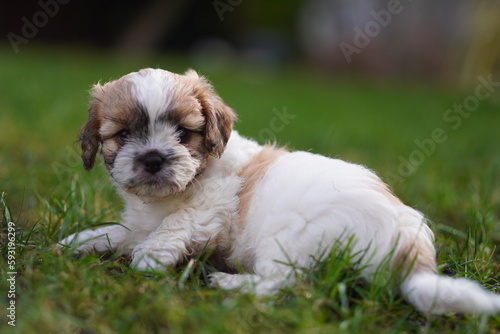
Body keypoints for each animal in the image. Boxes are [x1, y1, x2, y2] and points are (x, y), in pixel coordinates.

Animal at [59, 69, 500, 314]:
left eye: (184, 134)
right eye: (123, 135)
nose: (152, 158)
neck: (171, 194)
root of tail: (407, 236)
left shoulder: (212, 207)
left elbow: (177, 224)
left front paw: (150, 258)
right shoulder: (139, 222)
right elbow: (117, 232)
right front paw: (75, 242)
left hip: (288, 239)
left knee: (284, 284)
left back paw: (227, 284)